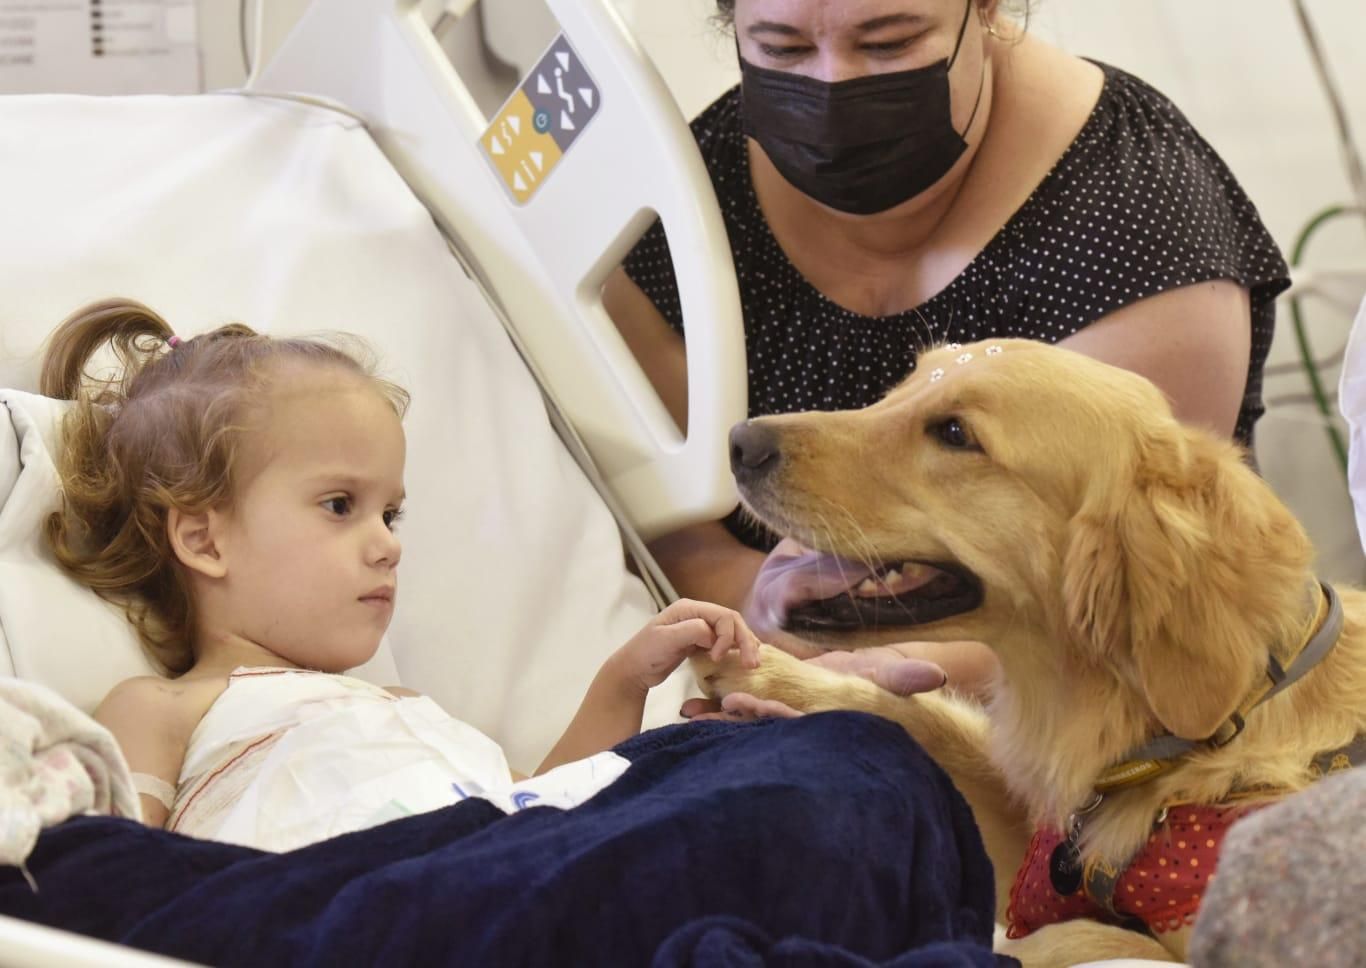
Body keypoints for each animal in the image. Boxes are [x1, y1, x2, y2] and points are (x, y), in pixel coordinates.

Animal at [699, 335, 1366, 961]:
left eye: (955, 433)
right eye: (902, 387)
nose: (738, 442)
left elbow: (1065, 940)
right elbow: (916, 715)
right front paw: (763, 673)